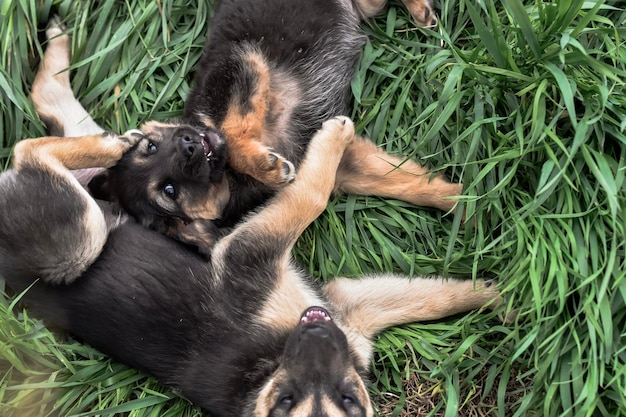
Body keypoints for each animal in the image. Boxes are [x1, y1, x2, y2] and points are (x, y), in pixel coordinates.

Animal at [35, 0, 458, 250]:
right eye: (168, 191)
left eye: (150, 145)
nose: (189, 145)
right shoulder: (344, 162)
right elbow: (409, 183)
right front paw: (462, 203)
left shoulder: (242, 65)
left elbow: (232, 132)